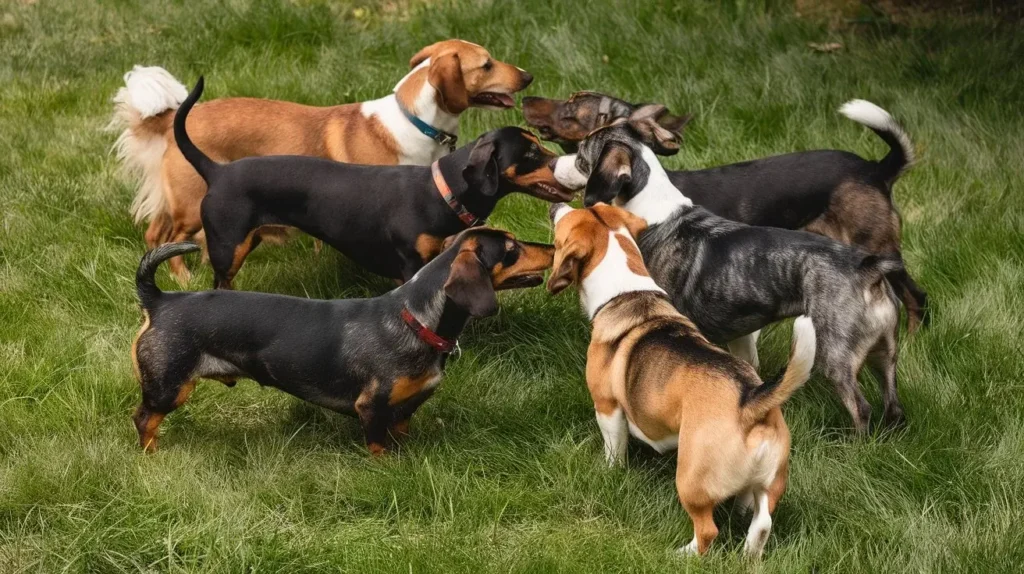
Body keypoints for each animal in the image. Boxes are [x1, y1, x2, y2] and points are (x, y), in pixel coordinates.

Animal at [552, 120, 905, 431]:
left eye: (581, 155)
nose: (554, 161)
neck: (654, 211)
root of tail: (868, 268)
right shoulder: (740, 336)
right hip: (884, 355)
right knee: (893, 406)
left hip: (835, 355)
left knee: (861, 409)